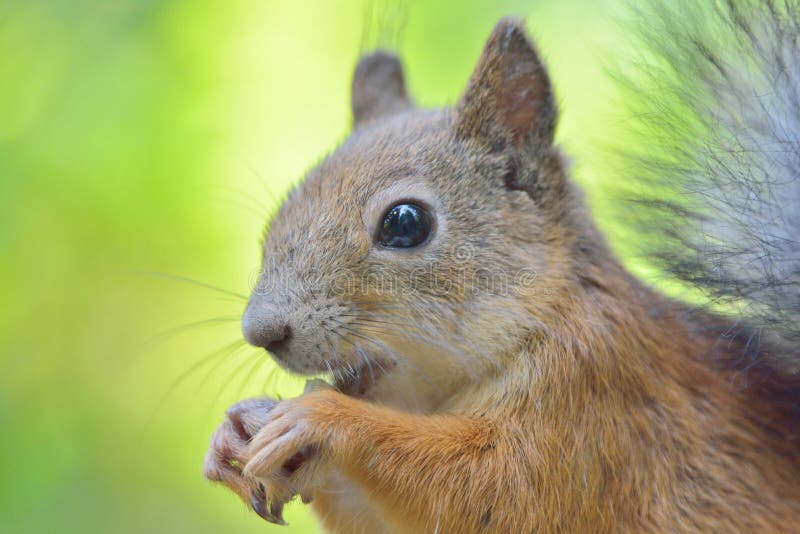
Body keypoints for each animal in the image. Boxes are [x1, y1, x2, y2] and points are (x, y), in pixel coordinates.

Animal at [202, 2, 800, 532]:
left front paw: (322, 420)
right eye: (281, 214)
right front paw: (236, 429)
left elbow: (491, 489)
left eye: (405, 223)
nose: (262, 333)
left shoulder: (594, 404)